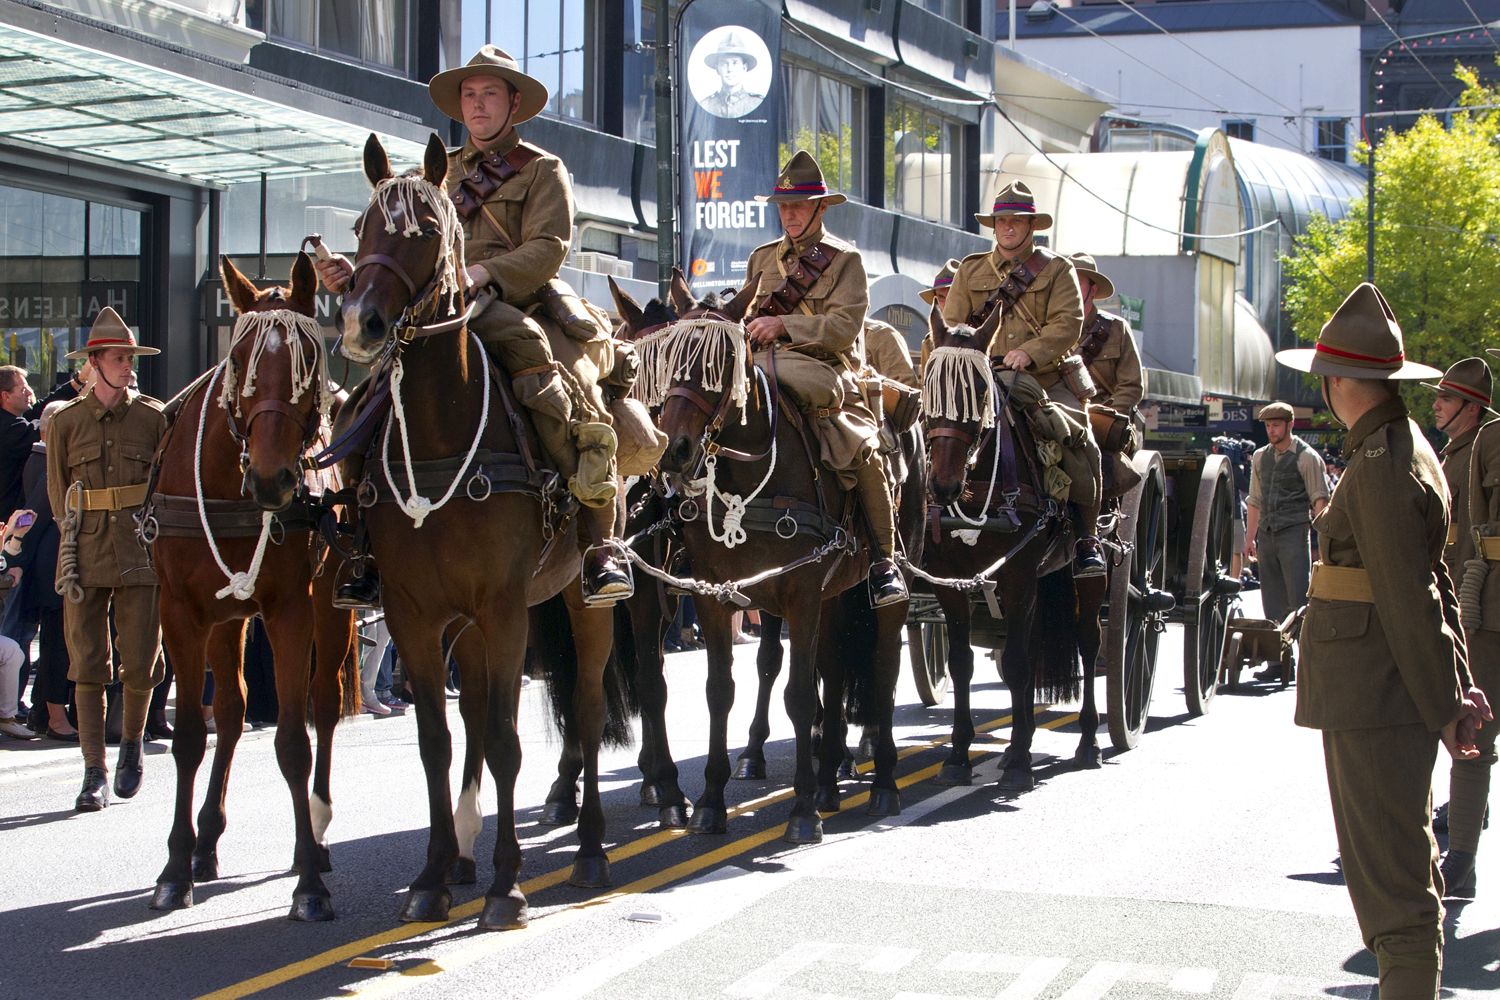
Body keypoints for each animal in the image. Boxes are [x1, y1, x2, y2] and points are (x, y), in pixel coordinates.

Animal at [147, 251, 360, 923]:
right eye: (238, 360)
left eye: (308, 360)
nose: (273, 479)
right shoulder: (181, 612)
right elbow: (193, 733)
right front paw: (175, 866)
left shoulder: (291, 610)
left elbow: (292, 739)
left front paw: (310, 884)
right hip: (229, 618)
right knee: (235, 710)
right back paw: (207, 841)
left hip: (332, 604)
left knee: (322, 706)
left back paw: (314, 836)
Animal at [337, 132, 618, 929]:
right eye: (360, 229)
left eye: (428, 231)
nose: (361, 323)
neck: (440, 429)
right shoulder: (413, 613)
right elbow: (437, 740)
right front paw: (433, 876)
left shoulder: (502, 609)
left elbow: (504, 740)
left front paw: (507, 886)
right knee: (469, 727)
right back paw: (463, 854)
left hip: (581, 603)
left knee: (587, 709)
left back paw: (589, 850)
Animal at [642, 275, 906, 845]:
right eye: (668, 355)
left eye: (723, 361)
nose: (672, 449)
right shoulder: (714, 594)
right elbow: (720, 690)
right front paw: (710, 802)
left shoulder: (801, 594)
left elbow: (800, 694)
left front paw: (802, 811)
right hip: (834, 596)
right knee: (834, 664)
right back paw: (830, 778)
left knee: (883, 666)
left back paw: (883, 782)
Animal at [906, 308, 1110, 791]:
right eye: (927, 387)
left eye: (979, 392)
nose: (942, 485)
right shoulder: (953, 584)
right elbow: (962, 663)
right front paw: (959, 755)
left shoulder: (1018, 579)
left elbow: (1017, 663)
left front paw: (1019, 761)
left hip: (1086, 572)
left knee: (1089, 642)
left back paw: (1088, 741)